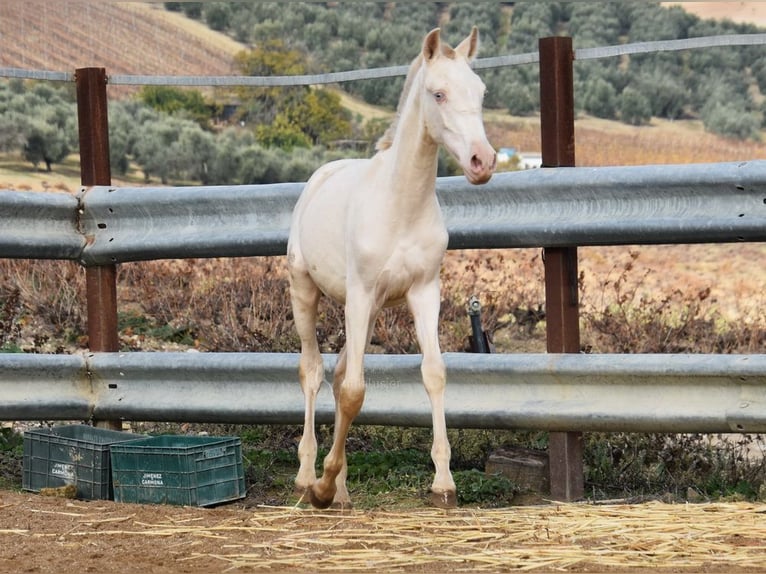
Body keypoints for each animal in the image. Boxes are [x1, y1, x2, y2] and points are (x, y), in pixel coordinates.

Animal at [288, 28, 498, 512]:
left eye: (480, 93)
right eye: (438, 93)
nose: (482, 161)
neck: (400, 205)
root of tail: (319, 178)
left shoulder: (424, 292)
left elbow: (433, 374)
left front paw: (444, 485)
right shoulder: (361, 293)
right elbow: (353, 391)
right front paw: (322, 487)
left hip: (369, 310)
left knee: (338, 374)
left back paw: (341, 490)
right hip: (306, 290)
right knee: (313, 372)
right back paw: (308, 479)